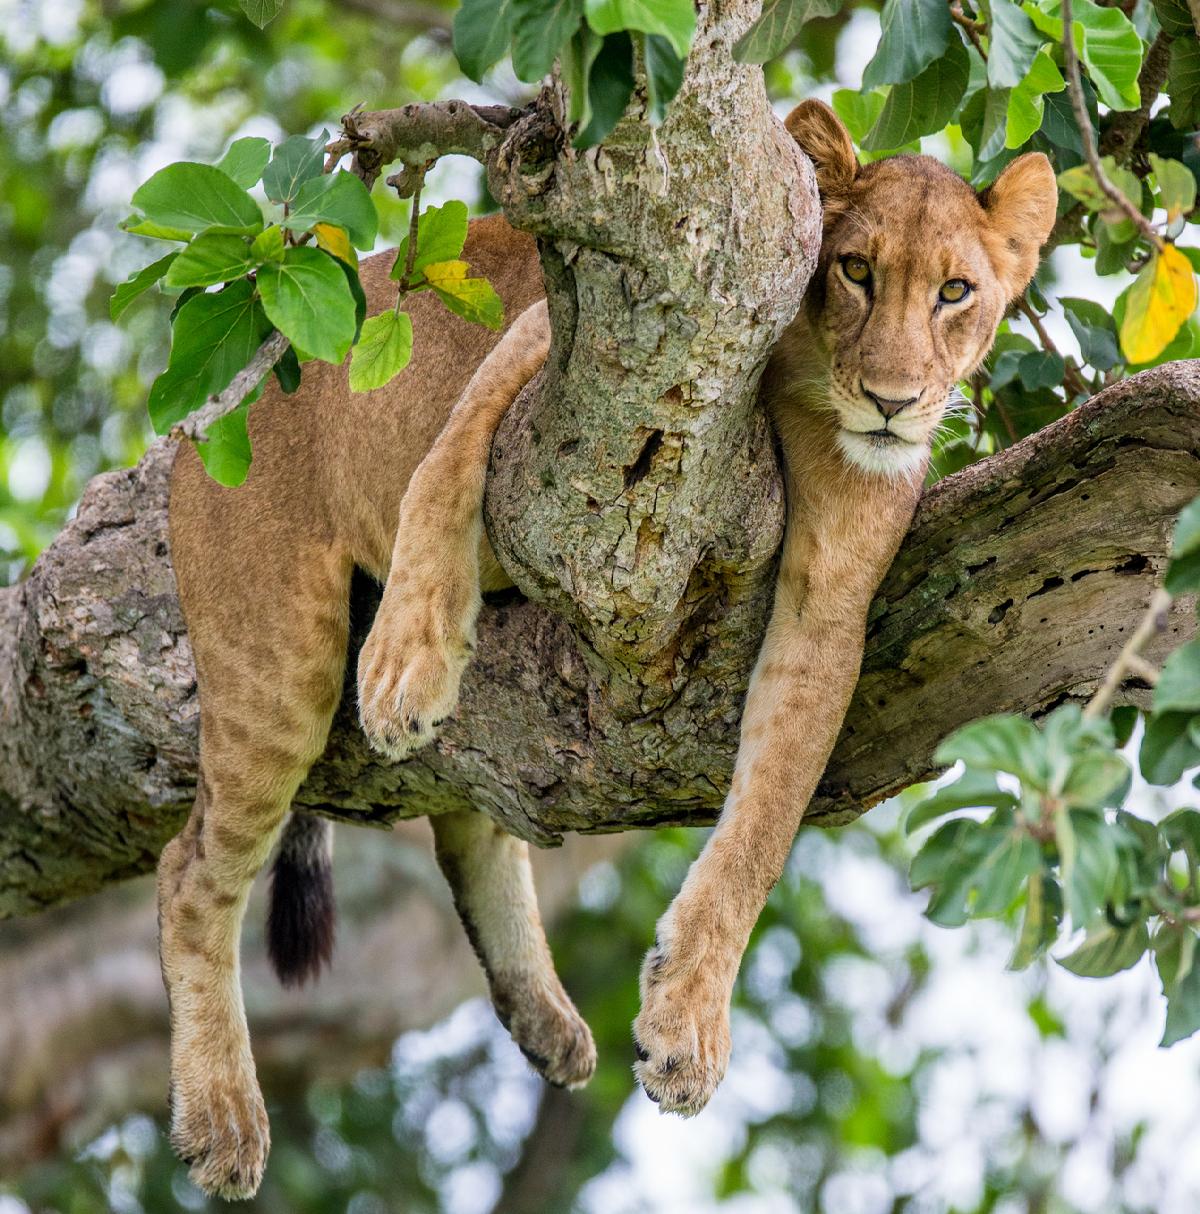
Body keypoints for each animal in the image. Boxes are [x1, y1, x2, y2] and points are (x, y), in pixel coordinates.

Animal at [154, 101, 1054, 1194]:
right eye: (855, 271)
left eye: (955, 292)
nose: (891, 401)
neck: (807, 399)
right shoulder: (564, 351)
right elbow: (446, 461)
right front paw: (407, 660)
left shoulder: (830, 610)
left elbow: (762, 830)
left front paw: (688, 1024)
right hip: (273, 659)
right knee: (188, 870)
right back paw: (221, 1113)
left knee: (474, 821)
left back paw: (544, 1020)